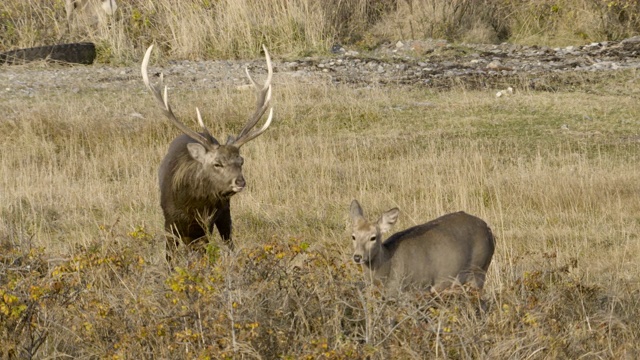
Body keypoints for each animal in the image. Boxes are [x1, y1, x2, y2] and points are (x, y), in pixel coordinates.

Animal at [141, 45, 274, 258]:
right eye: (217, 163)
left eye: (241, 160)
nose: (240, 181)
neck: (190, 206)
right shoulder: (169, 221)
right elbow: (169, 257)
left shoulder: (206, 224)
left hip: (224, 213)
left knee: (229, 241)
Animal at [350, 198, 496, 294]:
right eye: (353, 236)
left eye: (373, 237)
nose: (357, 257)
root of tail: (490, 232)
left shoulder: (420, 285)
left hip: (479, 270)